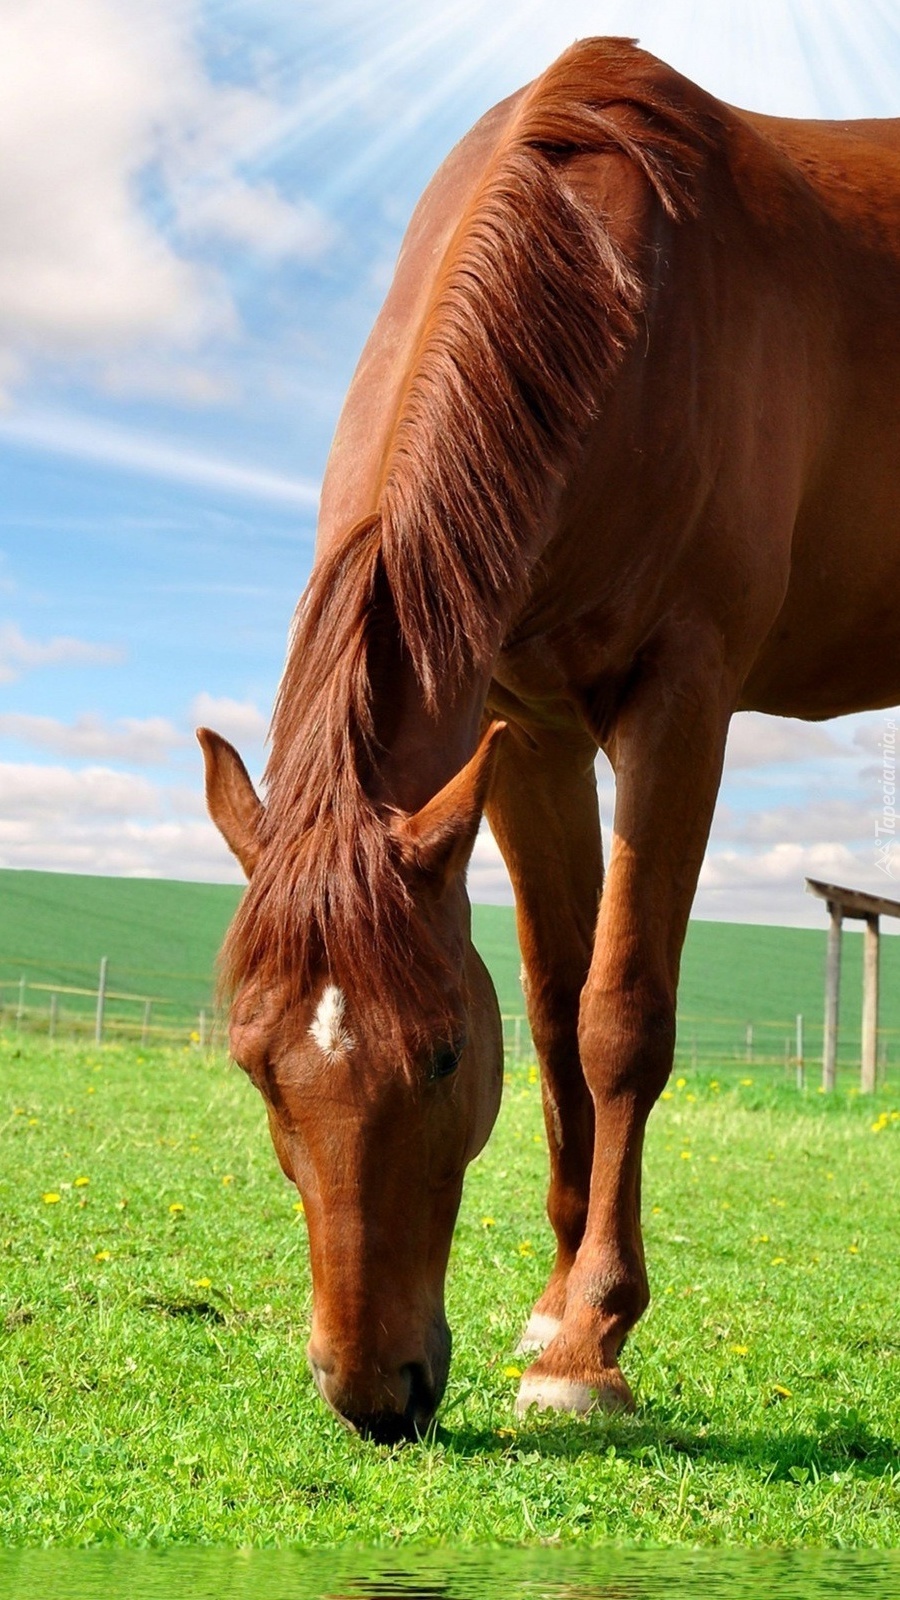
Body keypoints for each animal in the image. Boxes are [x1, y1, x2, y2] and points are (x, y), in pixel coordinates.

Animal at [199, 37, 896, 1440]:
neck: (634, 300)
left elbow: (619, 1015)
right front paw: (557, 1299)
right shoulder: (527, 728)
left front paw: (589, 1345)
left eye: (444, 1054)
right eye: (254, 1065)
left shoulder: (682, 700)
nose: (373, 1394)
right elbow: (558, 1009)